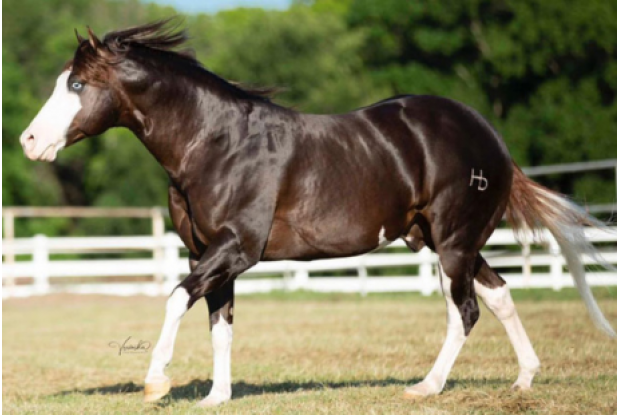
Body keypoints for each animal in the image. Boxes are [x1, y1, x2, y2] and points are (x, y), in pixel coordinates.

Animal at [19, 19, 616, 406]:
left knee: (464, 310)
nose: (28, 142)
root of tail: (492, 140)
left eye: (77, 84)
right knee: (498, 296)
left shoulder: (237, 248)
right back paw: (524, 380)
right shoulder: (208, 253)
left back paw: (427, 386)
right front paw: (216, 397)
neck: (216, 143)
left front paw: (156, 381)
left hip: (453, 243)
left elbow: (175, 300)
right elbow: (218, 322)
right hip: (452, 243)